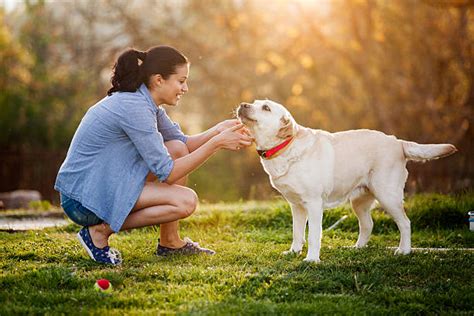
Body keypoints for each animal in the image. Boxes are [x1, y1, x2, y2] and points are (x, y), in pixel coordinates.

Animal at [239, 100, 458, 262]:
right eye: (254, 102)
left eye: (266, 108)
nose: (243, 104)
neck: (285, 146)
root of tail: (398, 141)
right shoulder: (297, 206)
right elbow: (297, 232)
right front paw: (293, 251)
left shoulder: (314, 203)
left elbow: (313, 234)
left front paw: (311, 259)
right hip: (359, 201)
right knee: (368, 224)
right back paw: (357, 248)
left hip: (387, 195)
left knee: (405, 223)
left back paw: (403, 250)